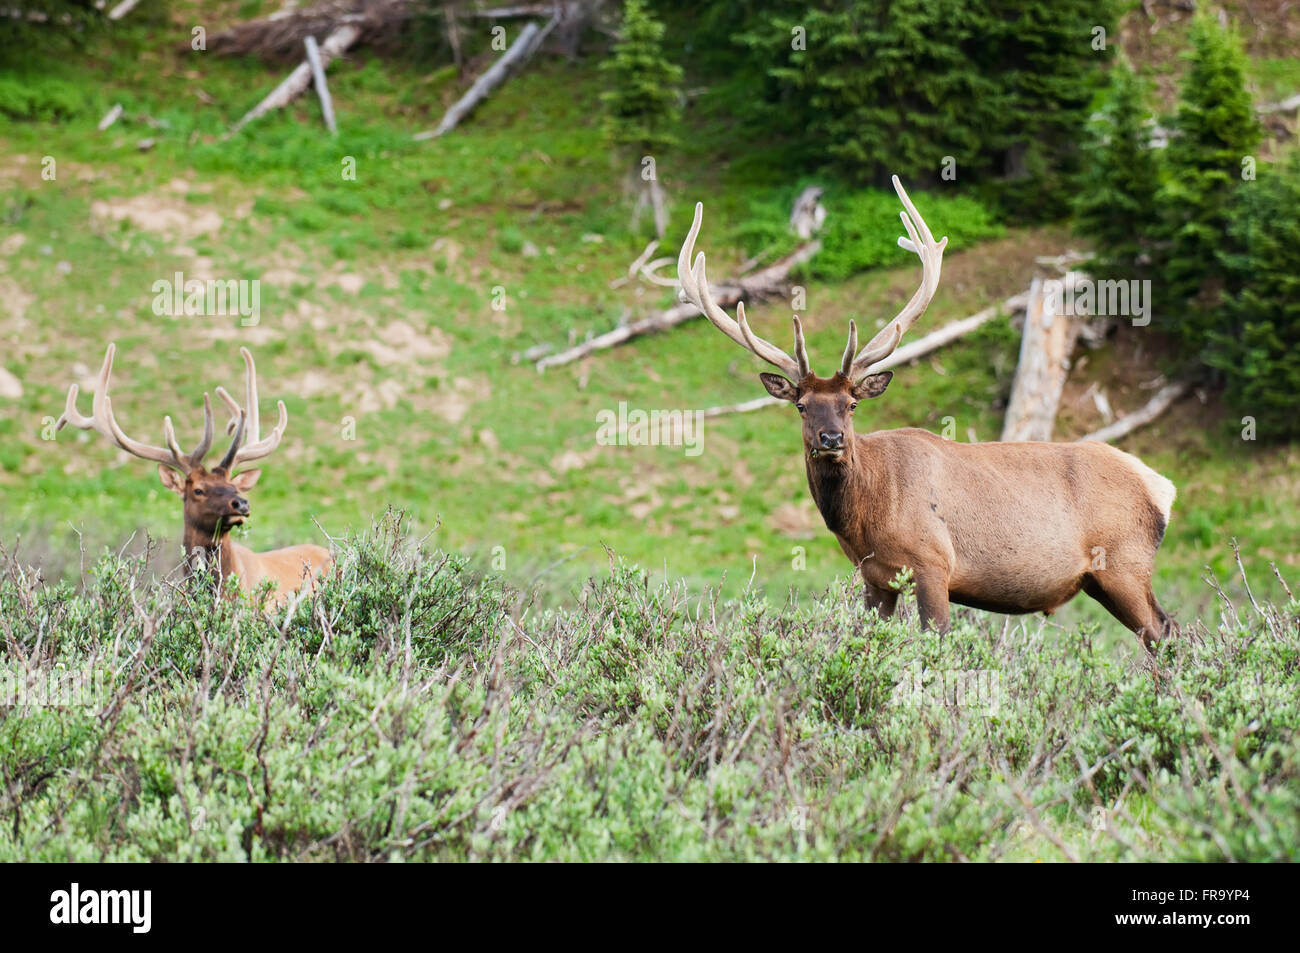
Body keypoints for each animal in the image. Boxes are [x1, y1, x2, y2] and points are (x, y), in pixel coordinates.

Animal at [681, 174, 1180, 650]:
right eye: (802, 406)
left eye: (851, 404)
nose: (832, 439)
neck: (867, 517)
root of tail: (1162, 487)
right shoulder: (875, 579)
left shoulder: (933, 563)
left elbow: (933, 644)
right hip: (1105, 578)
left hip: (1124, 563)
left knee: (1163, 632)